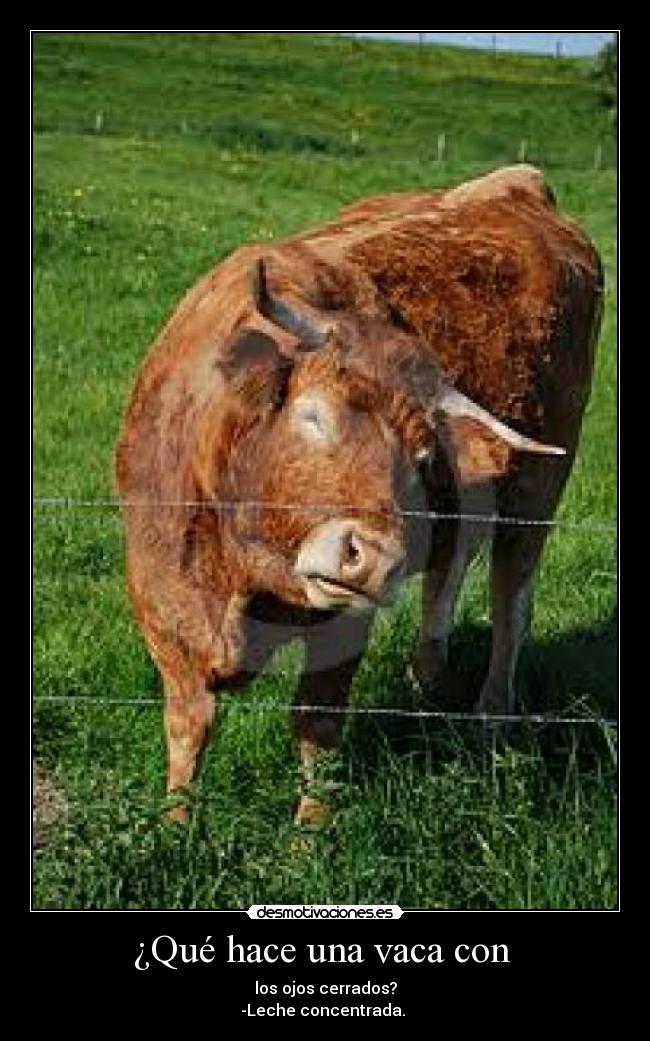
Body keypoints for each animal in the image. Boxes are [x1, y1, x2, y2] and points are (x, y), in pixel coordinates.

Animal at [116, 165, 603, 827]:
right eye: (313, 415)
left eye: (420, 458)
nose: (373, 561)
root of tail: (516, 182)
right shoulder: (160, 594)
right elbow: (188, 722)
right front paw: (175, 824)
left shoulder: (345, 625)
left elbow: (316, 723)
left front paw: (309, 836)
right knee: (447, 572)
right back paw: (426, 678)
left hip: (538, 492)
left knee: (512, 603)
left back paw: (489, 718)